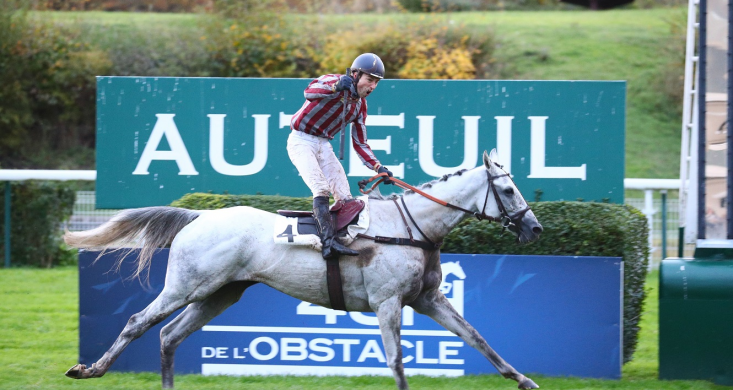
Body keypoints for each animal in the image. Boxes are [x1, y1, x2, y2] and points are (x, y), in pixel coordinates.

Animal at [64, 150, 544, 390]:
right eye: (507, 189)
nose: (535, 227)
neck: (413, 228)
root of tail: (199, 215)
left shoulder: (426, 299)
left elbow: (476, 337)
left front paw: (523, 379)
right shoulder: (387, 302)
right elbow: (395, 359)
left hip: (220, 293)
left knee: (168, 335)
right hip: (186, 286)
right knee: (138, 322)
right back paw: (90, 369)